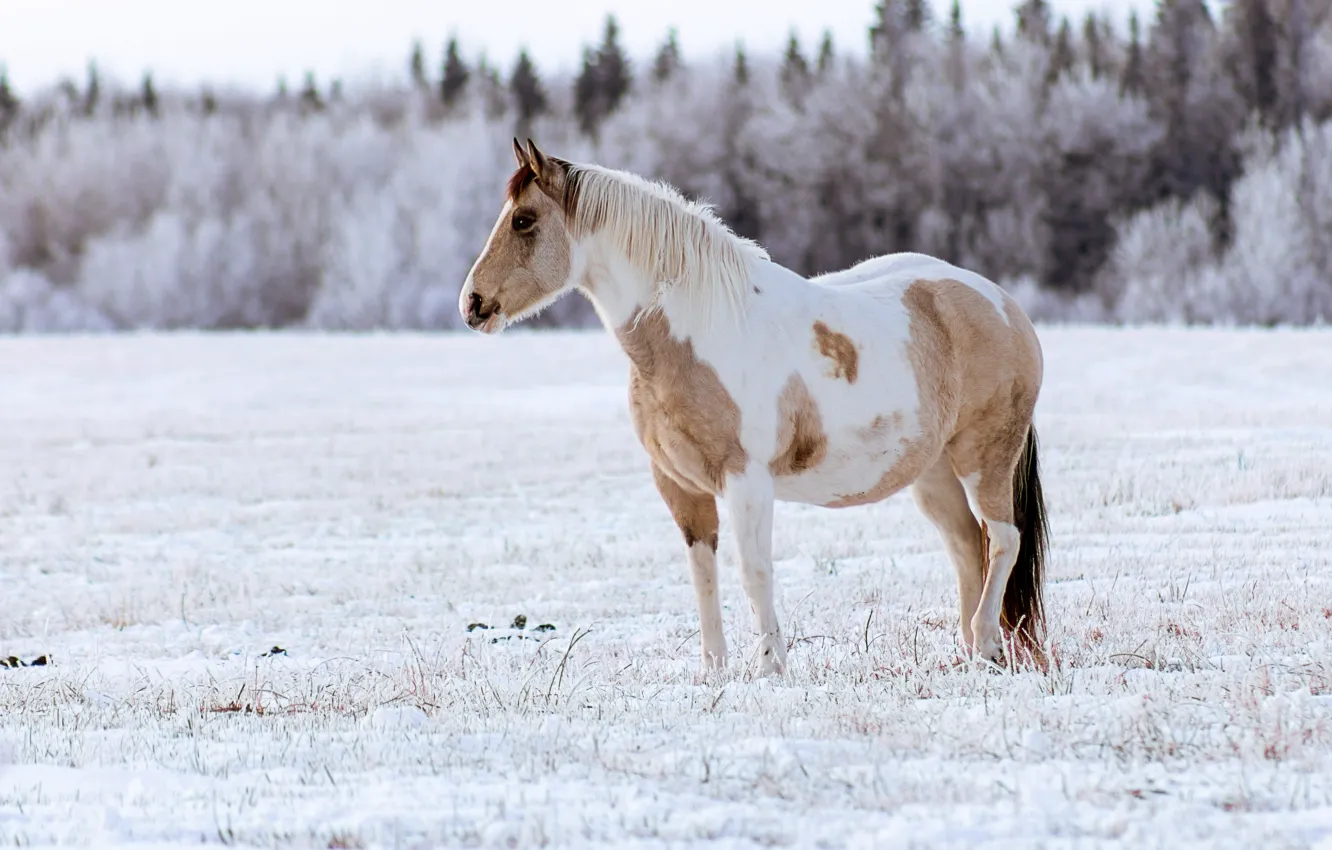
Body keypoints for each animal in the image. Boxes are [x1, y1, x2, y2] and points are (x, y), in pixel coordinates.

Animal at [460, 138, 1049, 676]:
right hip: (934, 475)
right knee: (967, 549)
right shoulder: (681, 486)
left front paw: (769, 668)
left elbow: (754, 572)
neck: (699, 331)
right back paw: (972, 655)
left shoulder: (745, 481)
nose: (473, 304)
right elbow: (704, 575)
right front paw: (714, 672)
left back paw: (987, 645)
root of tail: (1004, 305)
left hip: (984, 458)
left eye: (524, 220)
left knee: (1003, 539)